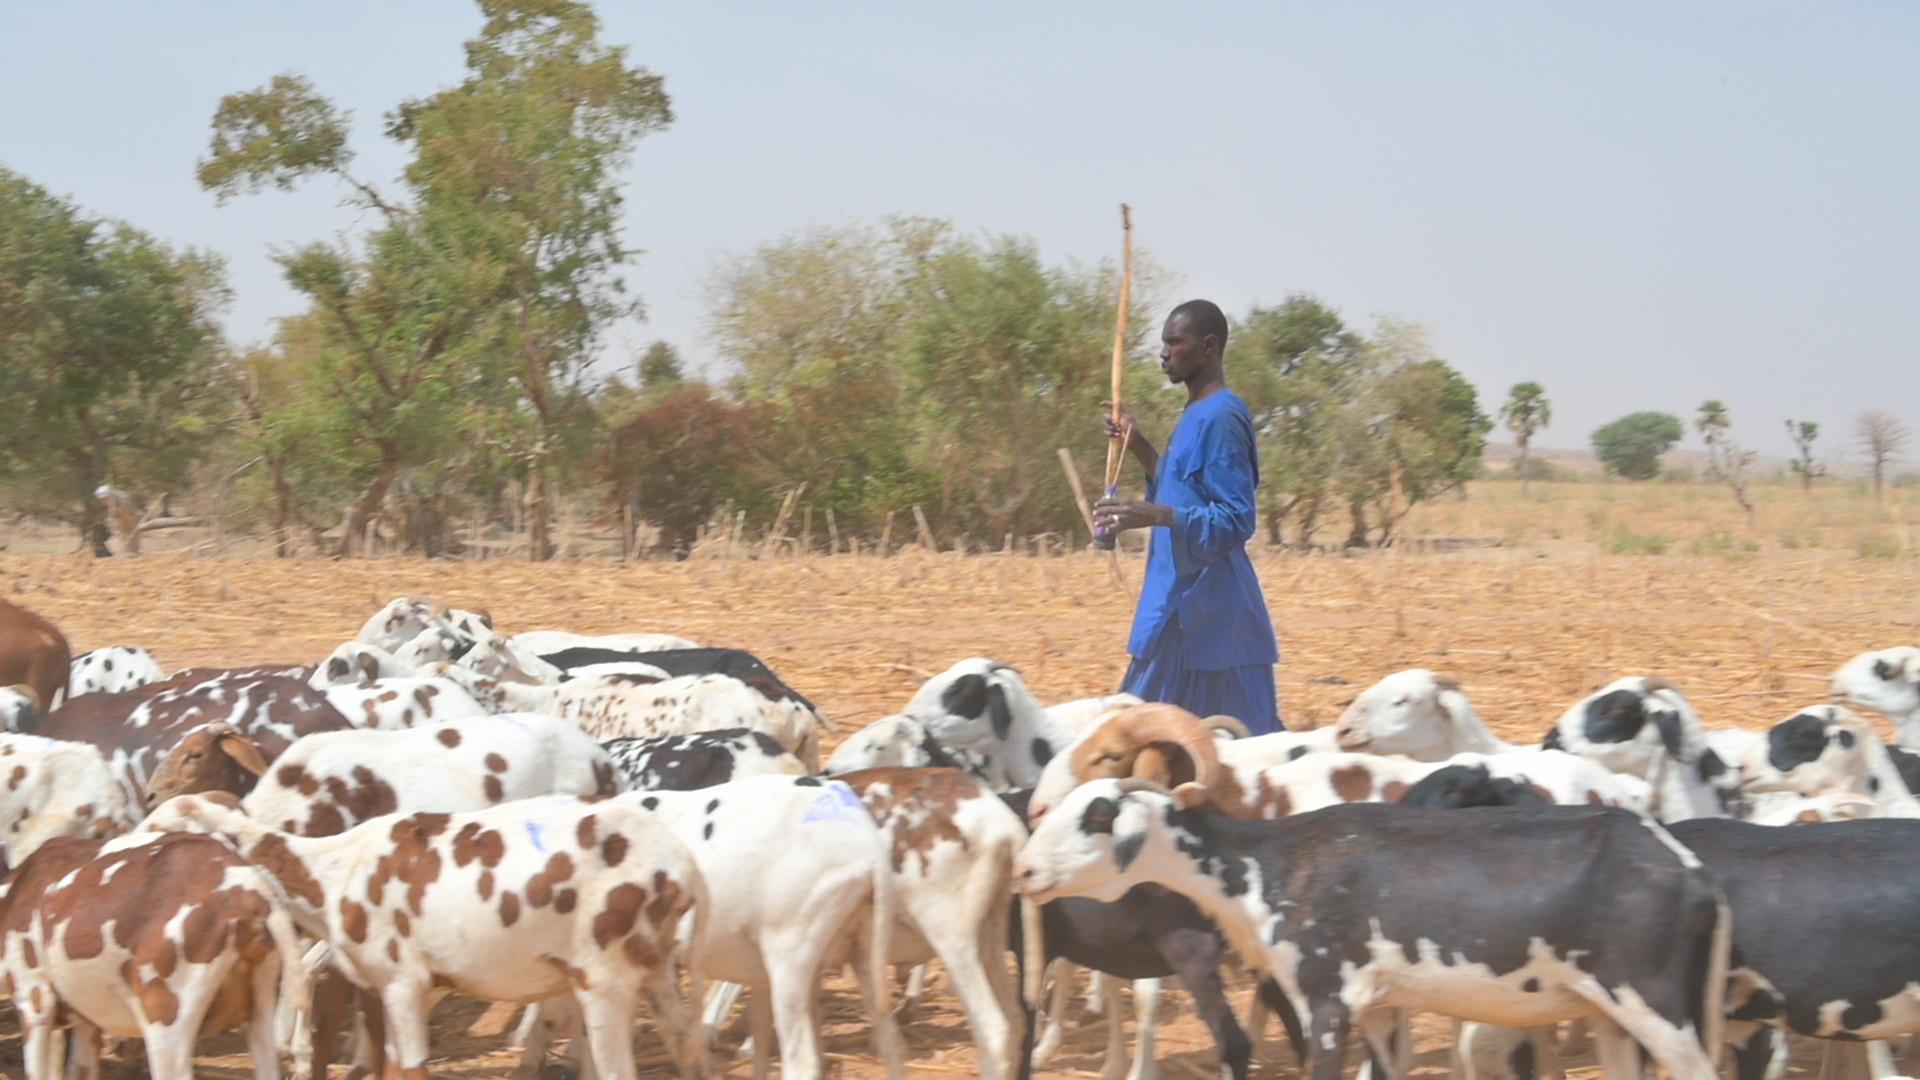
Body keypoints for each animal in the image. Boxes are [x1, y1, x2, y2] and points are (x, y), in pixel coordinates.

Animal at [144, 787, 706, 1076]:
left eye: (161, 825)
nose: (132, 850)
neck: (332, 871)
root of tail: (679, 868)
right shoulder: (391, 989)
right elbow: (391, 1066)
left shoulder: (403, 983)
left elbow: (412, 1068)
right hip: (655, 969)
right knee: (688, 1047)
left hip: (604, 977)